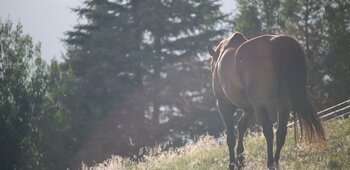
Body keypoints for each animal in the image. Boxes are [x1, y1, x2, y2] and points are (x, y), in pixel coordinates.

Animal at [208, 32, 326, 169]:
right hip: (284, 103)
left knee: (268, 130)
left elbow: (231, 137)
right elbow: (241, 126)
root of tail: (276, 41)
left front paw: (233, 164)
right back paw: (276, 161)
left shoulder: (224, 106)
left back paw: (270, 163)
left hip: (261, 104)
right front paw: (241, 159)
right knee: (281, 132)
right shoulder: (249, 109)